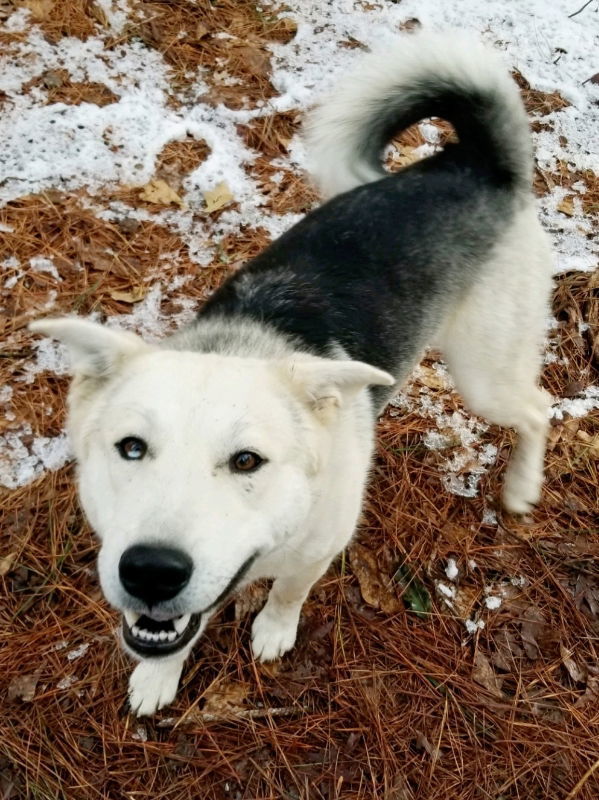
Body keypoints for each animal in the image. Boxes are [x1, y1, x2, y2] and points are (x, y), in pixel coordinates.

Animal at [28, 31, 552, 716]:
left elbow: (287, 593)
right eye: (131, 448)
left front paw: (273, 631)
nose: (150, 571)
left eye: (248, 461)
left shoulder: (317, 550)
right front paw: (159, 675)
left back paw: (522, 486)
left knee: (539, 409)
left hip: (483, 372)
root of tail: (478, 164)